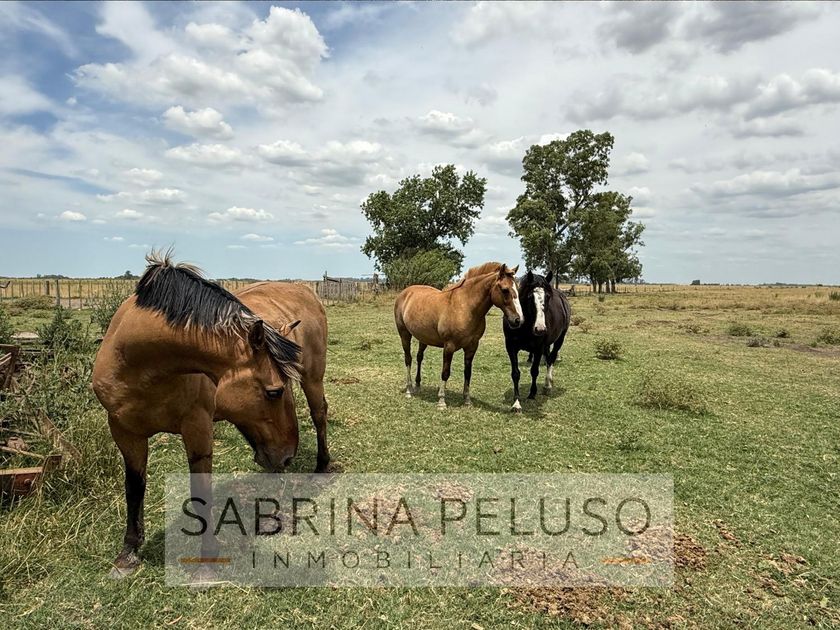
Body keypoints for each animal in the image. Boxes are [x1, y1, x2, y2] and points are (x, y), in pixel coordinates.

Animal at [92, 252, 302, 578]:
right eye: (274, 392)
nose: (290, 453)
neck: (138, 363)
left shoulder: (198, 429)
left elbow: (201, 491)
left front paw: (208, 559)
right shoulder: (124, 432)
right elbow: (134, 487)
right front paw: (128, 552)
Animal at [394, 262, 523, 409]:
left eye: (518, 289)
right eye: (505, 289)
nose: (518, 320)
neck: (465, 307)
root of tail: (405, 292)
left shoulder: (472, 346)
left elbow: (468, 372)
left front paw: (467, 400)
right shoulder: (449, 346)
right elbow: (445, 372)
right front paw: (441, 401)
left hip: (423, 338)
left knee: (419, 357)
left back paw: (417, 385)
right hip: (404, 334)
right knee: (408, 359)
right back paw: (409, 390)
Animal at [503, 271, 571, 412]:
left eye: (548, 296)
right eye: (529, 296)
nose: (540, 329)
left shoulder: (538, 348)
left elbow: (534, 371)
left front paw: (532, 393)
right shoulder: (510, 347)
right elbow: (515, 373)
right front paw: (516, 403)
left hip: (559, 339)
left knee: (551, 359)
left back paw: (547, 386)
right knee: (548, 356)